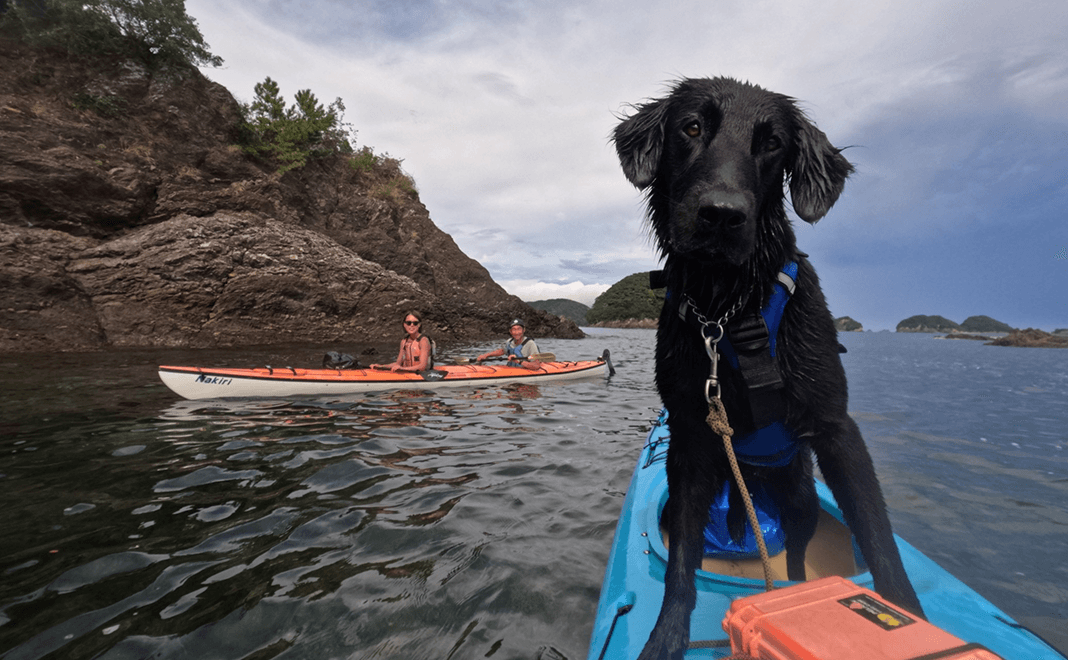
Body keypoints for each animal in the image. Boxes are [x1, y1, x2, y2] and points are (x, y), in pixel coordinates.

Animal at [615, 78, 922, 657]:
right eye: (691, 127)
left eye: (773, 144)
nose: (721, 214)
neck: (729, 311)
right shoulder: (689, 439)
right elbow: (681, 564)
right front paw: (665, 637)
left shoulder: (837, 428)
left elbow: (880, 544)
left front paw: (908, 613)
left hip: (800, 500)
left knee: (798, 556)